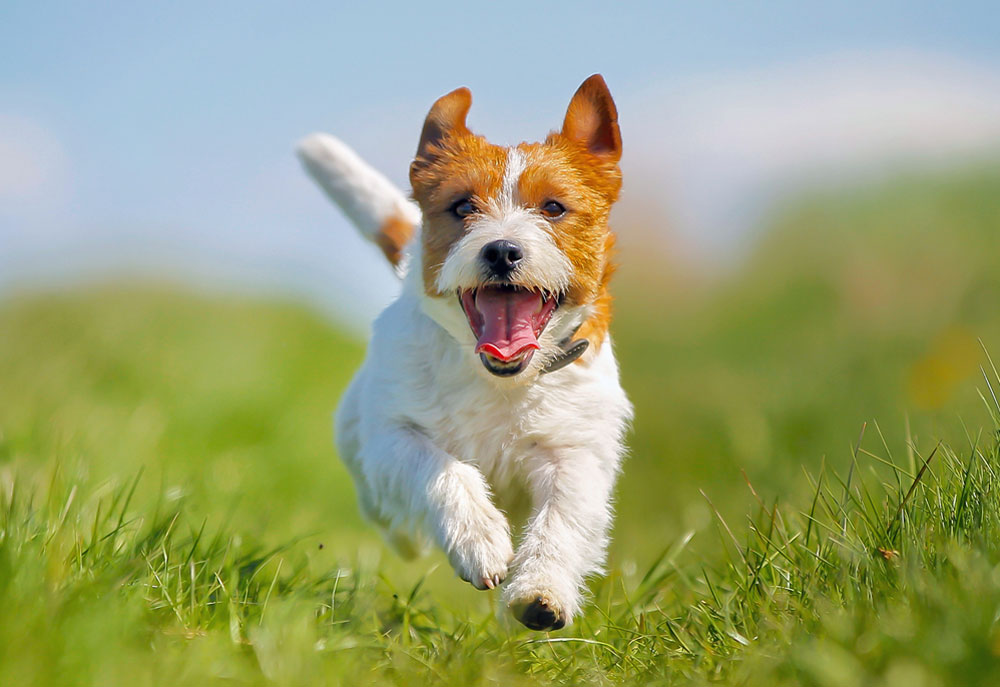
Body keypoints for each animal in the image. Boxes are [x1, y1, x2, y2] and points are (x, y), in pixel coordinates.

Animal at [292, 74, 632, 628]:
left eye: (553, 208)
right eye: (462, 207)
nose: (502, 250)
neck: (500, 378)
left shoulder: (574, 452)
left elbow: (562, 518)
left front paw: (540, 590)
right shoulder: (394, 435)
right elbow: (443, 468)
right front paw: (479, 540)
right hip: (361, 445)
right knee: (385, 510)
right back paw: (408, 536)